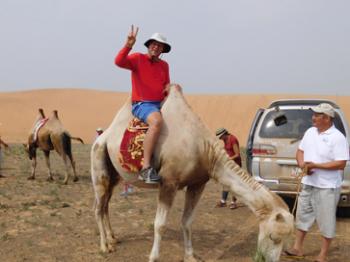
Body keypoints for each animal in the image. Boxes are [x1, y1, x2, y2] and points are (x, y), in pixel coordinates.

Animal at [91, 85, 296, 260]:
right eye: (273, 236)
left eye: (285, 239)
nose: (268, 259)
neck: (204, 150)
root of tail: (102, 137)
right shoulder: (169, 182)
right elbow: (160, 225)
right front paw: (154, 257)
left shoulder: (197, 183)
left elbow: (187, 221)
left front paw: (190, 256)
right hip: (99, 162)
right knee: (99, 207)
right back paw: (104, 246)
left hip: (114, 175)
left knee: (106, 204)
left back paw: (113, 238)